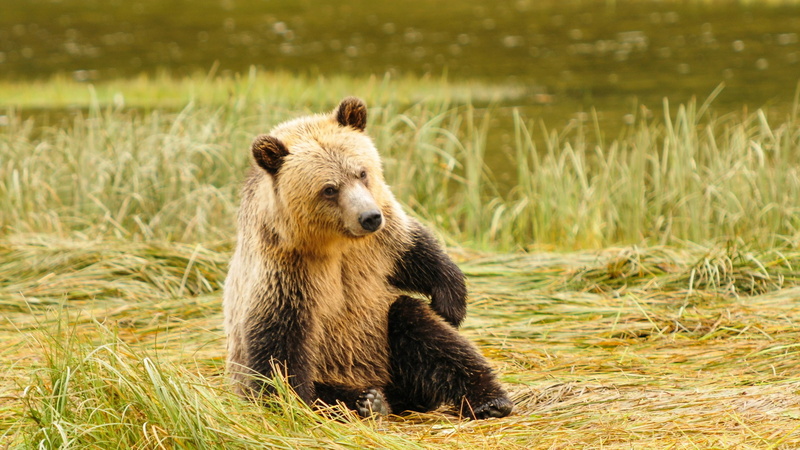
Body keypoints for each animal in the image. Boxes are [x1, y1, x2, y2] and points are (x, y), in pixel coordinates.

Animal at [223, 97, 513, 419]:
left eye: (361, 172)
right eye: (329, 188)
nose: (369, 217)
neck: (335, 243)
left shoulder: (379, 246)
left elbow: (419, 254)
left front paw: (450, 304)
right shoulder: (286, 272)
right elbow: (278, 355)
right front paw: (290, 402)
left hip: (384, 335)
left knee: (422, 330)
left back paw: (489, 400)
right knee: (328, 391)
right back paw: (368, 401)